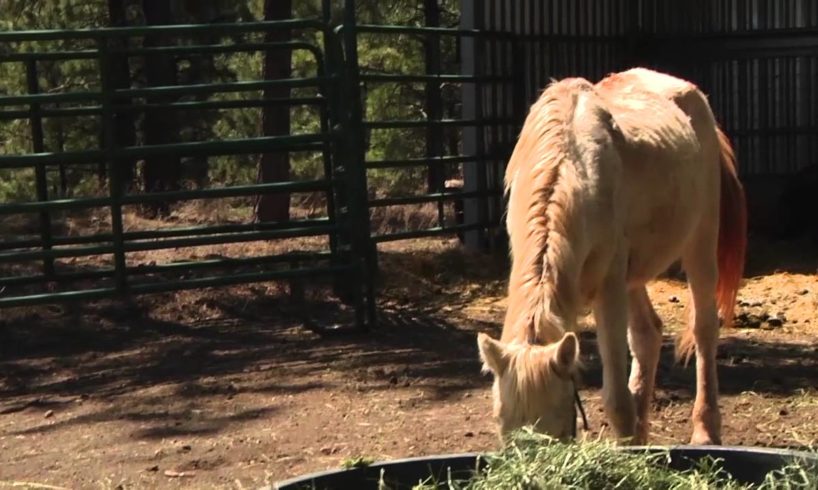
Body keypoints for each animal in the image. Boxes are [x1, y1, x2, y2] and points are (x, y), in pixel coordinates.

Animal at [472, 67, 744, 446]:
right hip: (635, 274)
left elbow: (616, 400)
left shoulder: (609, 285)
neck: (570, 166)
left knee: (703, 331)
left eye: (559, 420)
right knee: (647, 335)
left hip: (700, 244)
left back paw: (705, 431)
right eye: (502, 424)